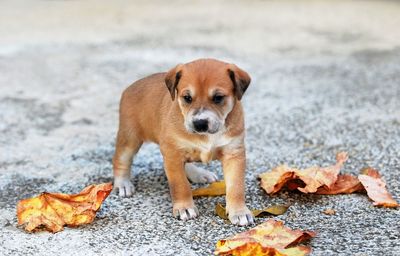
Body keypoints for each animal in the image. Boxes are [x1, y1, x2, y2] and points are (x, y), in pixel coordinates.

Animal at [112, 58, 253, 226]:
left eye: (218, 97)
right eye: (187, 98)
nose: (200, 123)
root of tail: (130, 87)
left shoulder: (234, 153)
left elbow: (236, 186)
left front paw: (239, 211)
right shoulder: (173, 155)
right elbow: (180, 184)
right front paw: (184, 208)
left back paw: (199, 174)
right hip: (129, 138)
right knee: (120, 160)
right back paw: (122, 184)